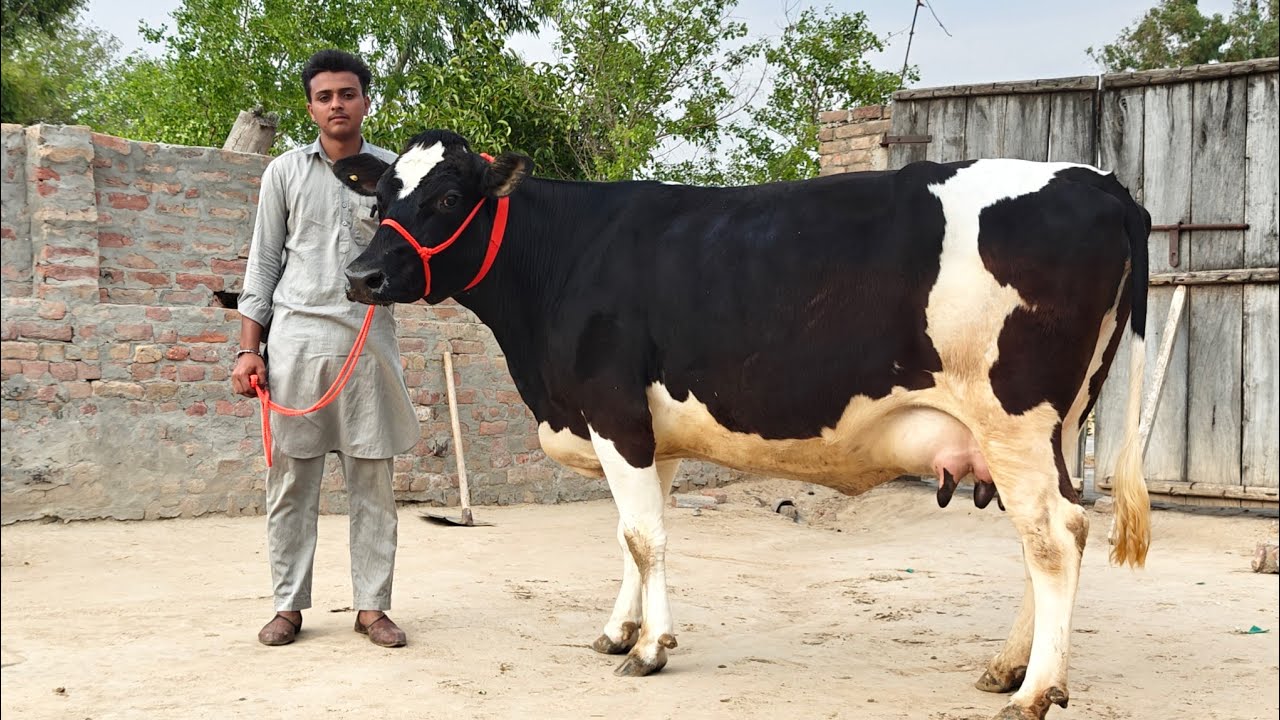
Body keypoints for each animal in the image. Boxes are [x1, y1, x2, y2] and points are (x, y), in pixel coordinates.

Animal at [333, 129, 1153, 720]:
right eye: (382, 200)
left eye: (445, 198)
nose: (361, 277)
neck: (565, 259)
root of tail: (1102, 182)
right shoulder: (646, 431)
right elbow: (632, 537)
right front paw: (619, 630)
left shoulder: (612, 410)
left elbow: (644, 537)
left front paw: (651, 649)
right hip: (1053, 426)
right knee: (1045, 535)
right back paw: (1008, 667)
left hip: (1014, 418)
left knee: (1054, 536)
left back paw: (1035, 692)